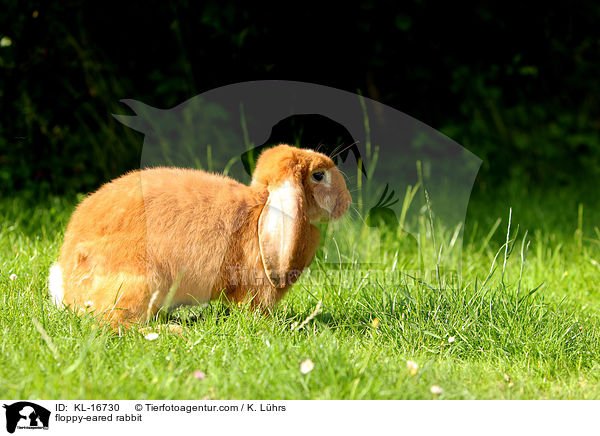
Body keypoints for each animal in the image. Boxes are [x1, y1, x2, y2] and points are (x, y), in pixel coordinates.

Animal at [51, 145, 354, 326]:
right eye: (319, 176)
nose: (347, 202)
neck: (262, 207)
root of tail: (67, 285)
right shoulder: (259, 287)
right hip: (143, 281)